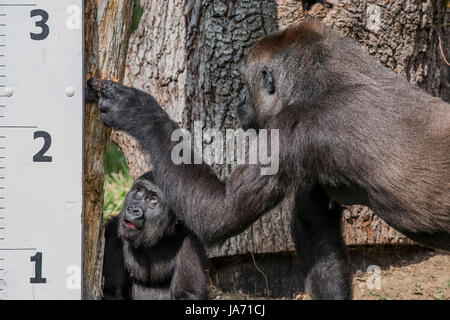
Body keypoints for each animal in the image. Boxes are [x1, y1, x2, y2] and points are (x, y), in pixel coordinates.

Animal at [102, 172, 207, 300]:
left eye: (153, 200)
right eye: (139, 192)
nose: (133, 210)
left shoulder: (190, 241)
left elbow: (188, 293)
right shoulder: (111, 233)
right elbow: (109, 291)